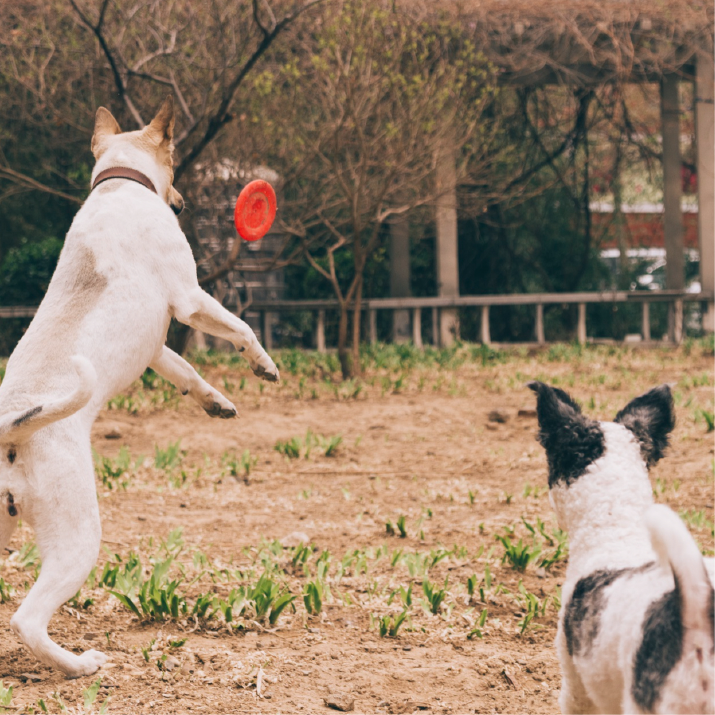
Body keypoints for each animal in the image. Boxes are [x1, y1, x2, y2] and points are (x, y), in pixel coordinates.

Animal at [0, 95, 278, 676]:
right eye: (172, 160)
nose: (183, 202)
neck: (117, 186)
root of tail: (12, 426)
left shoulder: (156, 348)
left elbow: (187, 373)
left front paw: (216, 402)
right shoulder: (191, 298)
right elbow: (242, 328)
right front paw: (263, 364)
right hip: (79, 536)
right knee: (27, 621)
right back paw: (80, 664)